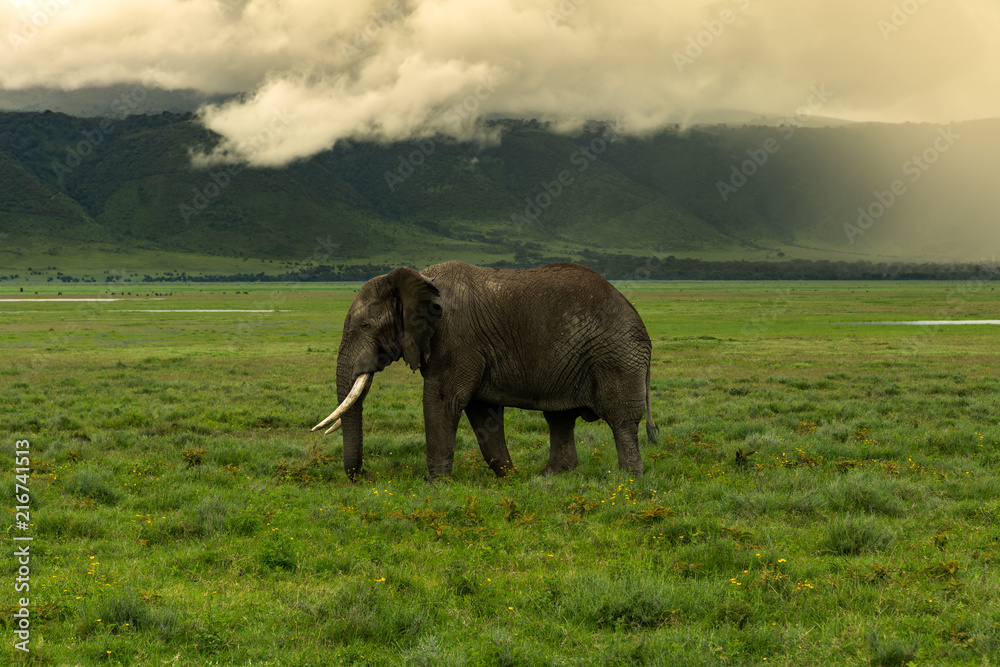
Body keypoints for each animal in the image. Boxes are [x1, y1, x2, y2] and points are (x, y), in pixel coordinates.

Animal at [312, 261, 658, 481]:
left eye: (365, 326)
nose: (367, 477)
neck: (418, 279)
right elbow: (481, 411)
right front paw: (510, 478)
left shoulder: (456, 339)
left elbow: (443, 402)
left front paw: (436, 485)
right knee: (559, 418)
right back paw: (546, 479)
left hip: (617, 357)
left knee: (621, 421)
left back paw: (627, 482)